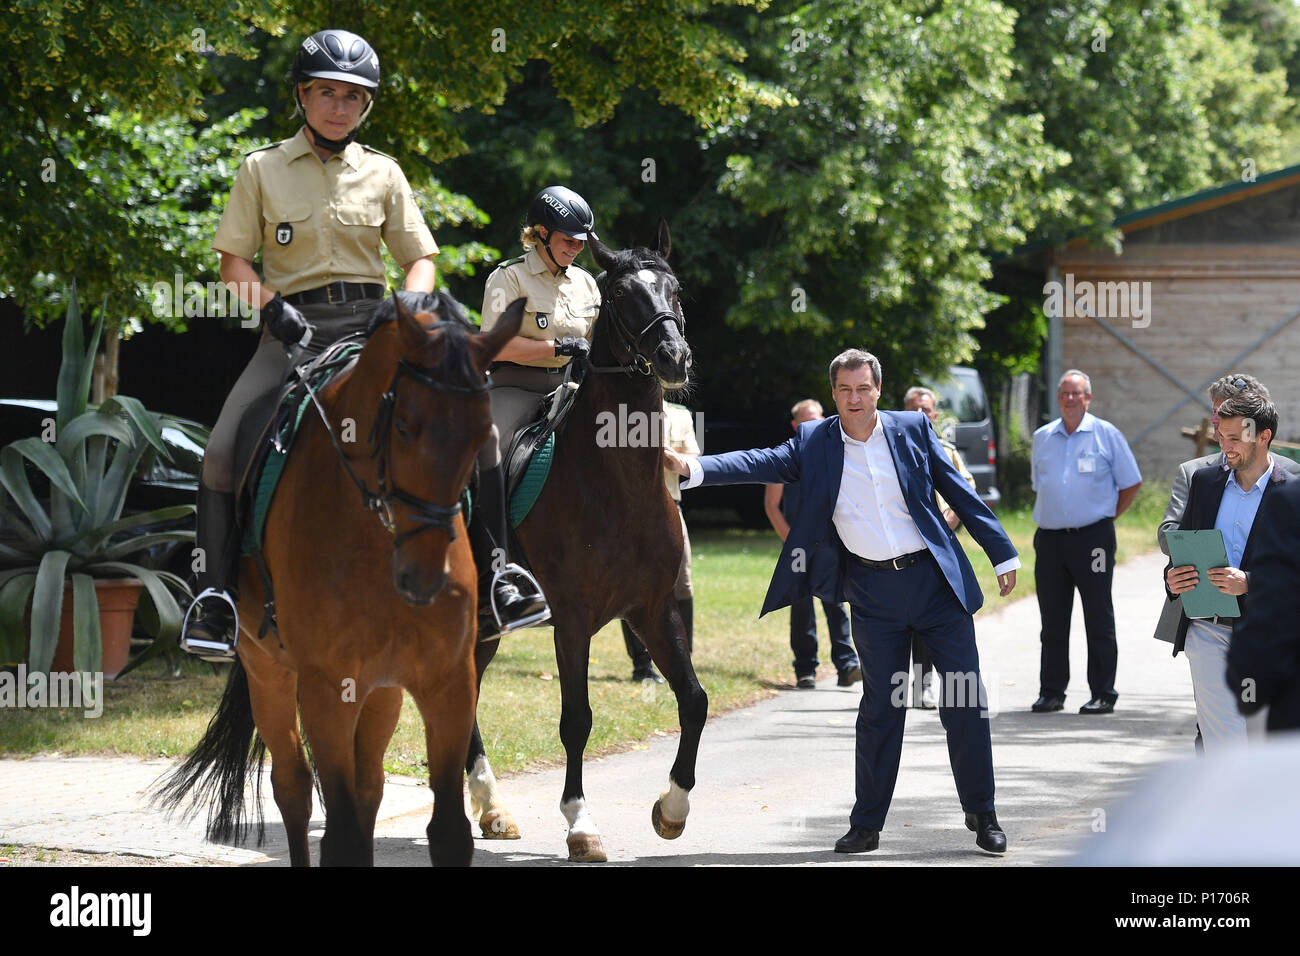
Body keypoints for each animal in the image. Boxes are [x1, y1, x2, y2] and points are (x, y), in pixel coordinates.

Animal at [161, 291, 522, 868]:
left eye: (481, 435)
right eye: (405, 427)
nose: (424, 579)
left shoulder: (448, 682)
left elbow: (447, 831)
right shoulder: (326, 689)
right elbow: (342, 833)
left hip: (381, 692)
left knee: (368, 785)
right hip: (270, 675)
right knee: (293, 787)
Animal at [462, 222, 707, 858]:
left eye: (675, 290)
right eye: (622, 296)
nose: (674, 357)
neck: (618, 483)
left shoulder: (653, 610)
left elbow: (694, 700)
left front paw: (672, 809)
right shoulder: (571, 619)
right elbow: (577, 719)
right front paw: (580, 824)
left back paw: (491, 809)